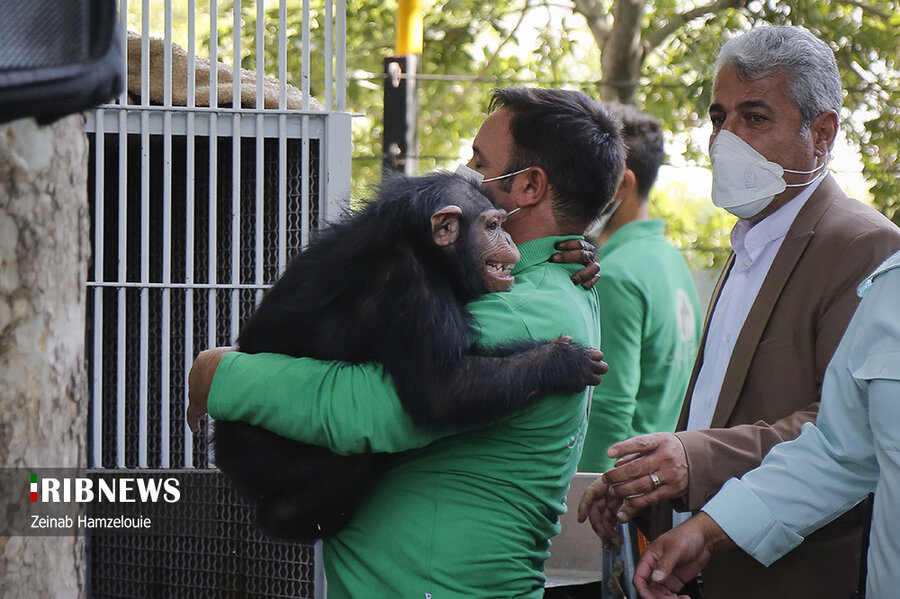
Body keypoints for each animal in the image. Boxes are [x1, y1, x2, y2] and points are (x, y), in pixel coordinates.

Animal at [213, 171, 604, 540]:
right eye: (493, 225)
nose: (508, 238)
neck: (425, 247)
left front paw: (582, 252)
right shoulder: (409, 283)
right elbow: (445, 390)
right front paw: (565, 360)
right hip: (256, 449)